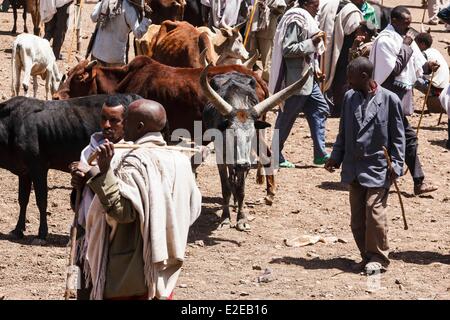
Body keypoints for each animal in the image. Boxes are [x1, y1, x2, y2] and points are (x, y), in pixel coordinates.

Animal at [0, 94, 139, 241]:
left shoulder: (39, 168)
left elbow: (41, 200)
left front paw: (42, 234)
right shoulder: (24, 172)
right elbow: (23, 200)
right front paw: (17, 230)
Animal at [199, 67, 312, 231]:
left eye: (251, 133)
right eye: (231, 132)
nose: (242, 164)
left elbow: (241, 189)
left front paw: (241, 219)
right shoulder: (221, 156)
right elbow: (225, 187)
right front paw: (225, 218)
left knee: (265, 157)